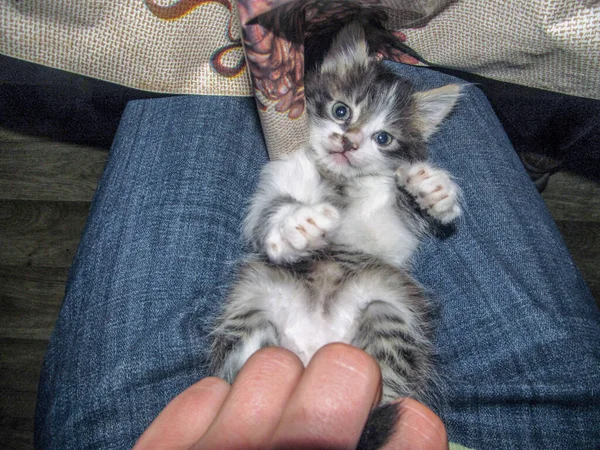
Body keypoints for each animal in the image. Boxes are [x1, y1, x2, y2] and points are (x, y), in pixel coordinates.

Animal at [209, 22, 462, 440]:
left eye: (383, 138)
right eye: (341, 110)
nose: (349, 141)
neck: (338, 183)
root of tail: (314, 348)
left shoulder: (389, 237)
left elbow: (400, 215)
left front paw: (431, 190)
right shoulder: (273, 185)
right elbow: (272, 212)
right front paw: (298, 223)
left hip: (389, 306)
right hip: (253, 296)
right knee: (240, 358)